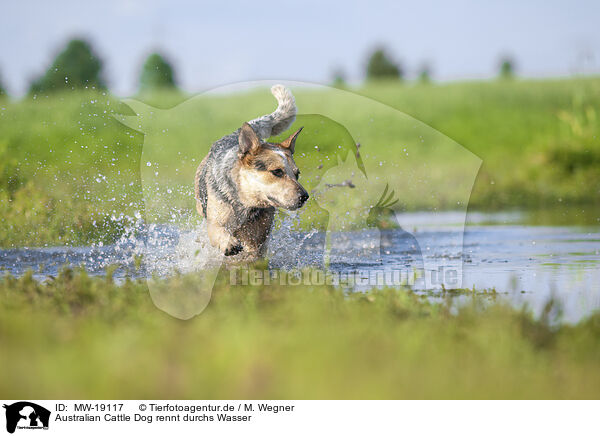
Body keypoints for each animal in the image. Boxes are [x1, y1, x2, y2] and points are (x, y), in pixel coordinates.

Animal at [195, 85, 310, 258]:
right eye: (277, 172)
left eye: (297, 174)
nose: (305, 196)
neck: (245, 203)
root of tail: (236, 134)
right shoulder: (215, 220)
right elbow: (219, 231)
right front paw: (229, 244)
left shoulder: (258, 239)